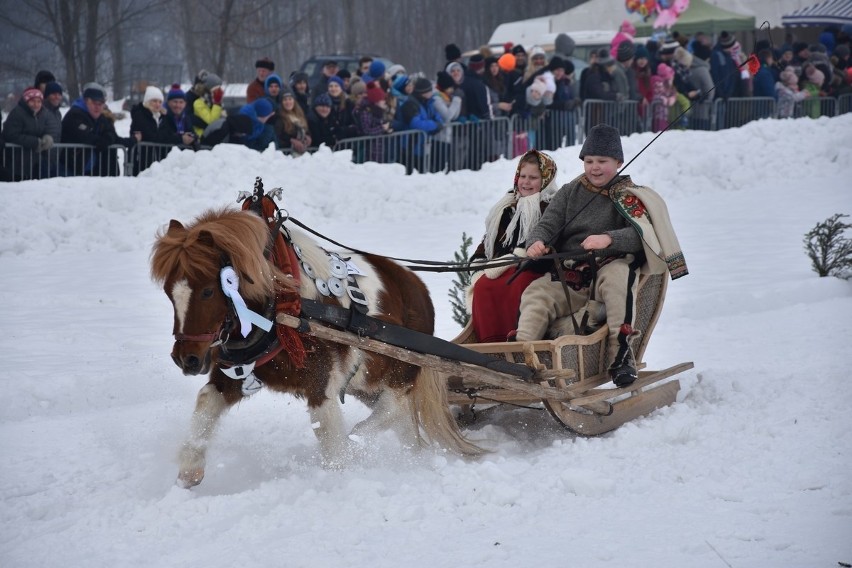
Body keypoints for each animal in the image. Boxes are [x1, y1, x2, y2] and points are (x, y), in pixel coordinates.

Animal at [148, 209, 480, 488]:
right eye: (168, 291)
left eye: (207, 290)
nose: (186, 359)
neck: (282, 306)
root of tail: (418, 289)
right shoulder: (235, 374)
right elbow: (206, 401)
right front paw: (189, 470)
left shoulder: (321, 386)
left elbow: (330, 439)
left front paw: (340, 472)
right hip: (367, 384)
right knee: (402, 425)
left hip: (399, 374)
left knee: (391, 410)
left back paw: (361, 443)